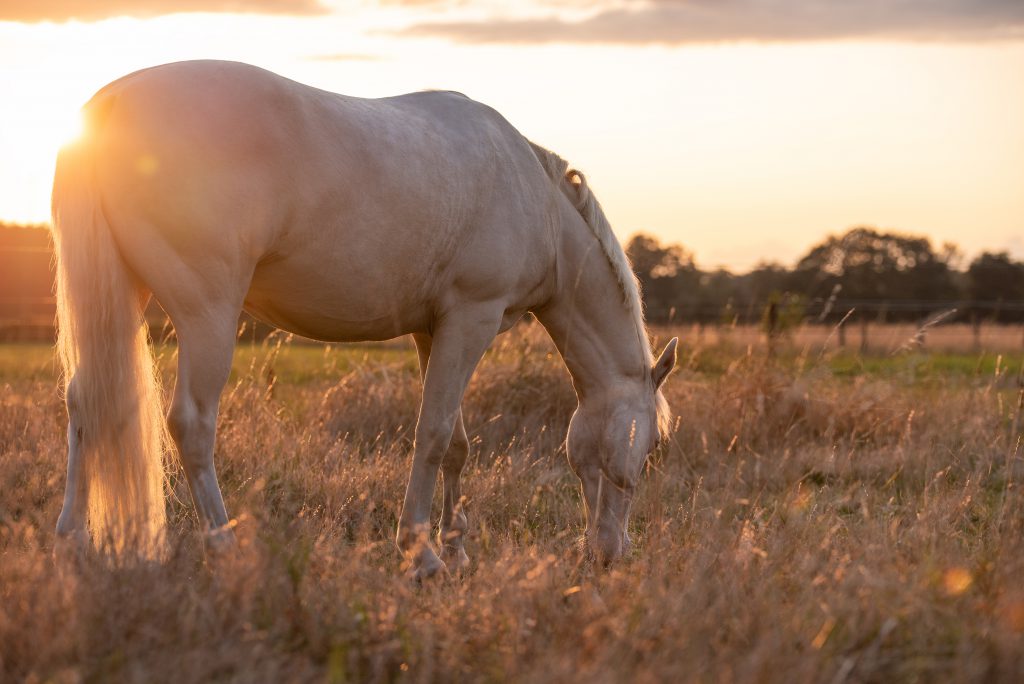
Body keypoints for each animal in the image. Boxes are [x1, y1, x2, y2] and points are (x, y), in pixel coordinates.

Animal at [49, 58, 671, 577]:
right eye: (643, 456)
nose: (610, 554)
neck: (537, 202)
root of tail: (112, 102)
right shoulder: (473, 318)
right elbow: (433, 434)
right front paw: (421, 556)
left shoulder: (435, 328)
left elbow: (457, 443)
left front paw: (455, 549)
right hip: (208, 317)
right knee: (192, 425)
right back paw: (223, 546)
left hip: (123, 299)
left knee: (86, 402)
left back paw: (73, 541)